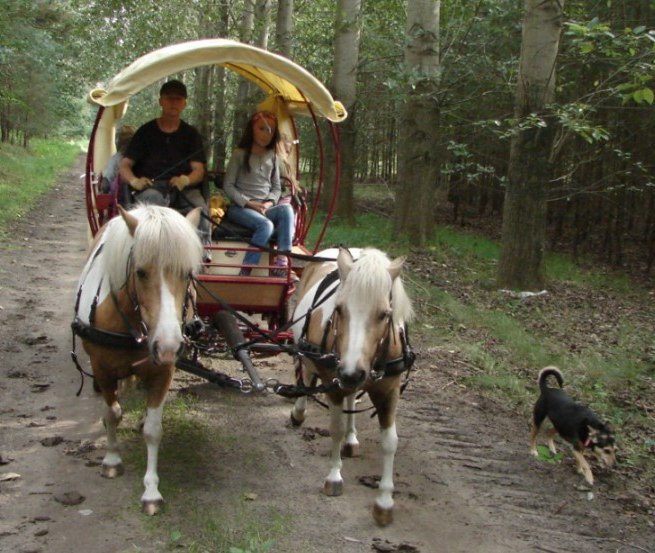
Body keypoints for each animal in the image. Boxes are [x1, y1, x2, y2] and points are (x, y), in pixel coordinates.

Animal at [72, 205, 202, 516]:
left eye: (187, 273)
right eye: (141, 272)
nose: (168, 345)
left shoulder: (163, 371)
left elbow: (154, 431)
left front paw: (151, 490)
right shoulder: (102, 369)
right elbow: (112, 413)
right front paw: (111, 459)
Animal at [288, 247, 412, 528]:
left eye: (384, 314)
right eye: (339, 309)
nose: (351, 372)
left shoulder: (389, 391)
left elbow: (390, 442)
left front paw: (384, 501)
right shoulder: (333, 383)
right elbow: (334, 428)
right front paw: (334, 476)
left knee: (352, 396)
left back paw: (351, 437)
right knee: (306, 374)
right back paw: (299, 411)